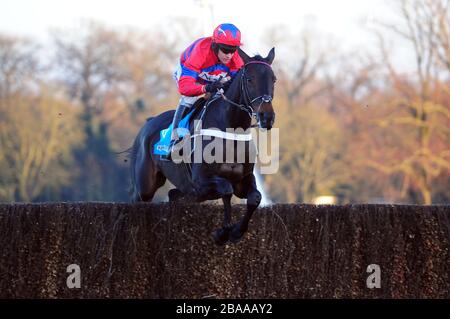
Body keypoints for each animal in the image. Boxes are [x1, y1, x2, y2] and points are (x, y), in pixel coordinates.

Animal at [127, 47, 274, 245]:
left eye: (274, 79)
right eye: (250, 79)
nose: (267, 117)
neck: (231, 131)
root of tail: (148, 123)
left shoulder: (243, 180)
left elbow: (255, 197)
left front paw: (236, 232)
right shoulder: (201, 181)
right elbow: (226, 189)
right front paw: (223, 232)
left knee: (175, 195)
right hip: (145, 187)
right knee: (138, 200)